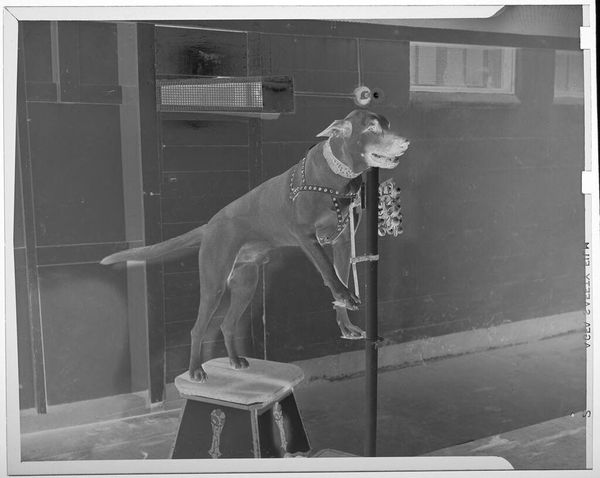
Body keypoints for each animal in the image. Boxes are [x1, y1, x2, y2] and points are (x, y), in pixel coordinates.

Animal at [101, 109, 409, 382]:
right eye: (372, 127)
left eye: (388, 124)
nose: (406, 142)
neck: (339, 176)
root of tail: (210, 225)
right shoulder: (307, 237)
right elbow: (328, 271)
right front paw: (345, 295)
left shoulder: (344, 242)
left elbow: (340, 278)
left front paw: (345, 322)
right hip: (214, 284)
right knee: (197, 329)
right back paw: (196, 370)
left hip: (246, 284)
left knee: (226, 324)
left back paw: (234, 360)